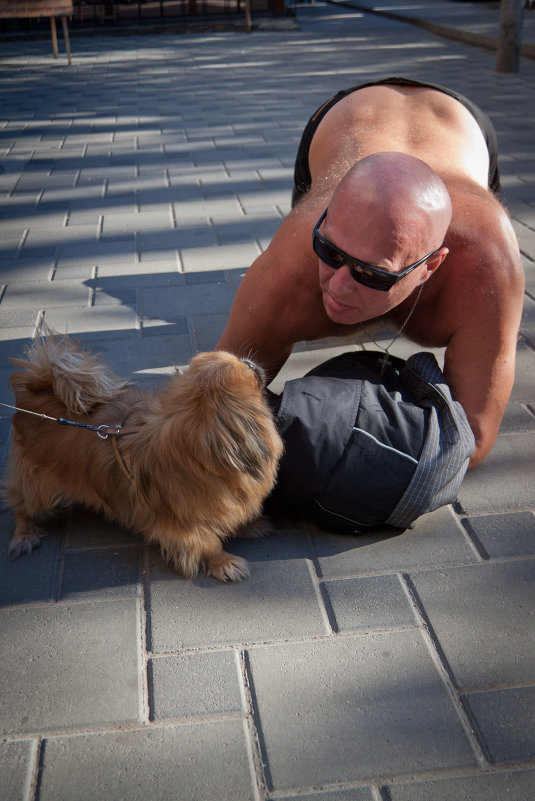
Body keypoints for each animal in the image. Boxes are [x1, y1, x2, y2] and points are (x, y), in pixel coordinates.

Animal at [4, 332, 282, 580]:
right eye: (249, 375)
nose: (250, 361)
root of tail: (33, 391)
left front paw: (252, 526)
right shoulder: (185, 525)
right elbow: (208, 543)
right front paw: (223, 563)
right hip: (37, 485)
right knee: (22, 506)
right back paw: (24, 535)